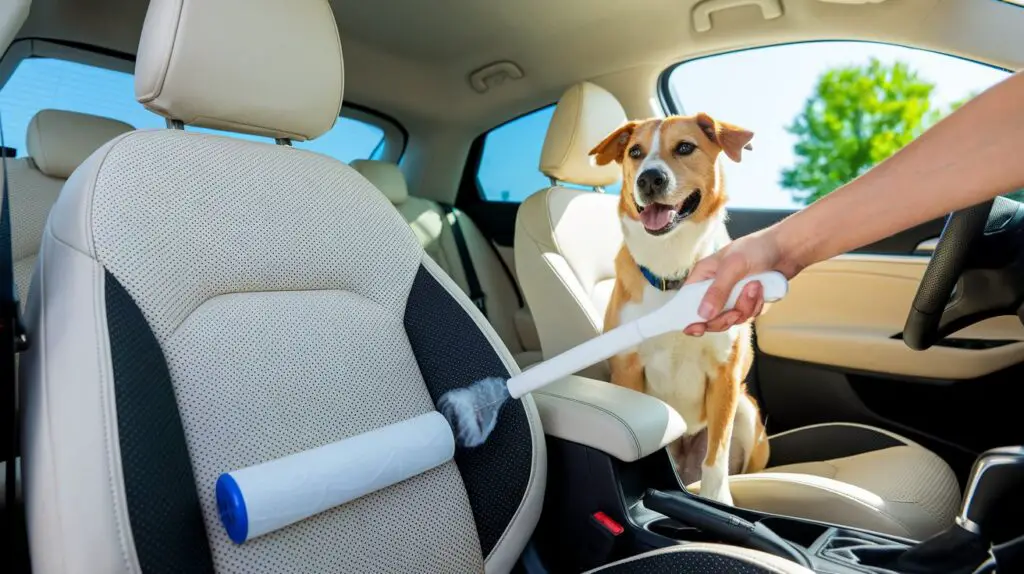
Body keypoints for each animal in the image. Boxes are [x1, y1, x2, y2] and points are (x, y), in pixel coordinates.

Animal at [593, 114, 770, 503]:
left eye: (685, 147)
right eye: (635, 152)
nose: (649, 178)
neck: (672, 270)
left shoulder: (725, 376)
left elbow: (716, 459)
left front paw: (718, 499)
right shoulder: (628, 372)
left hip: (746, 409)